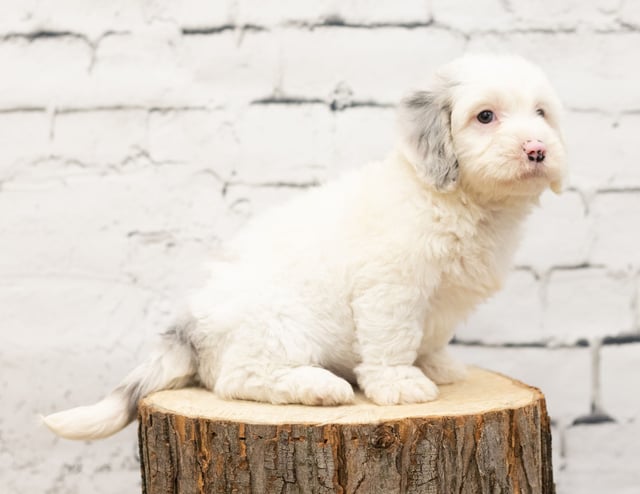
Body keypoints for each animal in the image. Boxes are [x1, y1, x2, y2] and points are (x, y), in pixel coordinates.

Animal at [43, 54, 564, 440]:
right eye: (485, 116)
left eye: (541, 113)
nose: (537, 149)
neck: (461, 202)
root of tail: (188, 326)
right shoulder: (391, 290)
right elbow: (393, 341)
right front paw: (399, 382)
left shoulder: (443, 302)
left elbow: (430, 337)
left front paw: (437, 366)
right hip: (279, 327)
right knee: (237, 379)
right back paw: (320, 387)